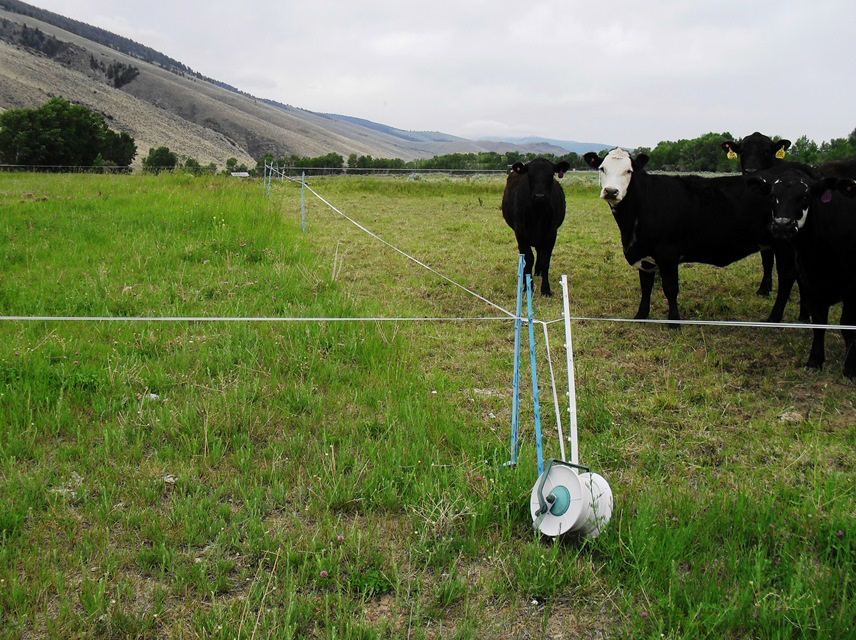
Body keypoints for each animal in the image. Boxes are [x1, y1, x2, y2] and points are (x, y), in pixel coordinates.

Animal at [498, 158, 572, 298]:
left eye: (551, 175)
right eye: (530, 176)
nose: (539, 196)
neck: (537, 212)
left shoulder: (551, 233)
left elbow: (545, 260)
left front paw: (546, 289)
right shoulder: (520, 232)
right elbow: (528, 258)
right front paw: (528, 287)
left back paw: (538, 272)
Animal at [584, 150, 804, 324]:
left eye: (628, 171)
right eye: (602, 168)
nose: (611, 191)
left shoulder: (667, 253)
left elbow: (670, 288)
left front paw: (674, 322)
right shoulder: (644, 254)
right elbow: (646, 286)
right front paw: (641, 316)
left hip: (783, 244)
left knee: (787, 277)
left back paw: (774, 319)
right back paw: (804, 316)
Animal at [744, 170, 852, 380]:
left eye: (805, 196)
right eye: (773, 196)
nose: (782, 225)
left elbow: (847, 325)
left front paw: (850, 368)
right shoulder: (812, 281)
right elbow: (819, 322)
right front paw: (814, 361)